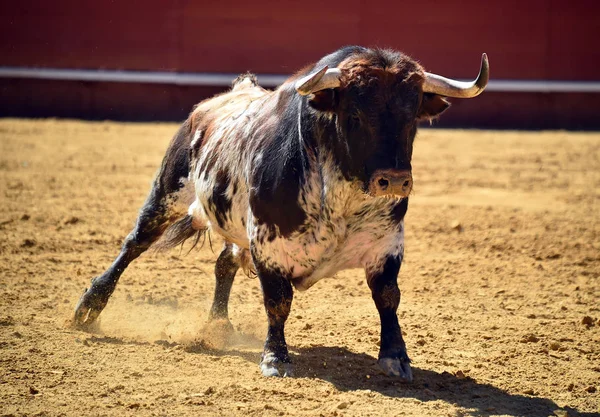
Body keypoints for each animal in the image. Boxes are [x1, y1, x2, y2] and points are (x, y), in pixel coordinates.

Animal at [75, 46, 488, 380]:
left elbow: (387, 296)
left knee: (223, 264)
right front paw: (275, 358)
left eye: (413, 115)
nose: (395, 180)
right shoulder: (267, 243)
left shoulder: (387, 243)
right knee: (134, 243)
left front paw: (396, 358)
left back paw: (219, 325)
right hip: (167, 192)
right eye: (354, 113)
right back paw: (89, 308)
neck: (340, 199)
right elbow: (278, 301)